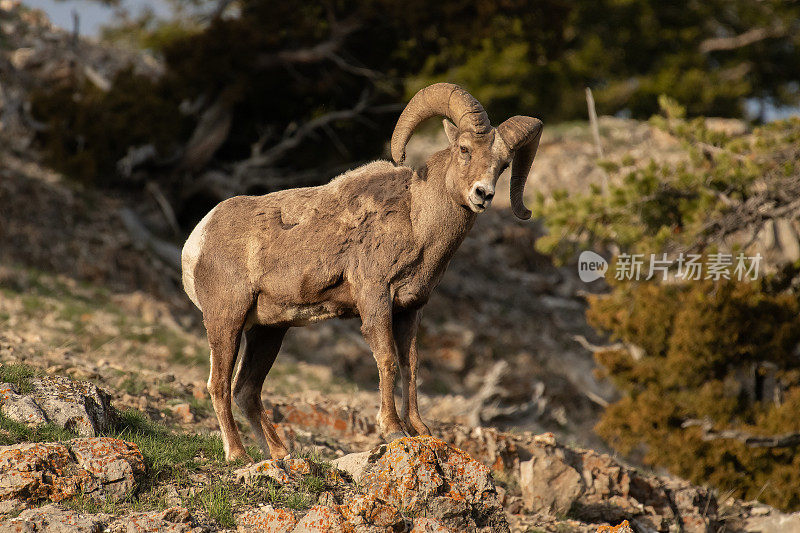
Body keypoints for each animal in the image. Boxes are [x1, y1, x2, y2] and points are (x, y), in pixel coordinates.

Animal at [181, 83, 544, 462]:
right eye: (464, 149)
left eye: (503, 165)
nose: (483, 194)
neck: (416, 222)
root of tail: (197, 240)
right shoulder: (375, 298)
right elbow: (387, 360)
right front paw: (393, 430)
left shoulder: (409, 311)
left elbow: (411, 366)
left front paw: (421, 430)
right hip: (227, 321)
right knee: (219, 385)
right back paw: (238, 455)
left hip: (268, 332)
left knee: (246, 390)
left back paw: (282, 455)